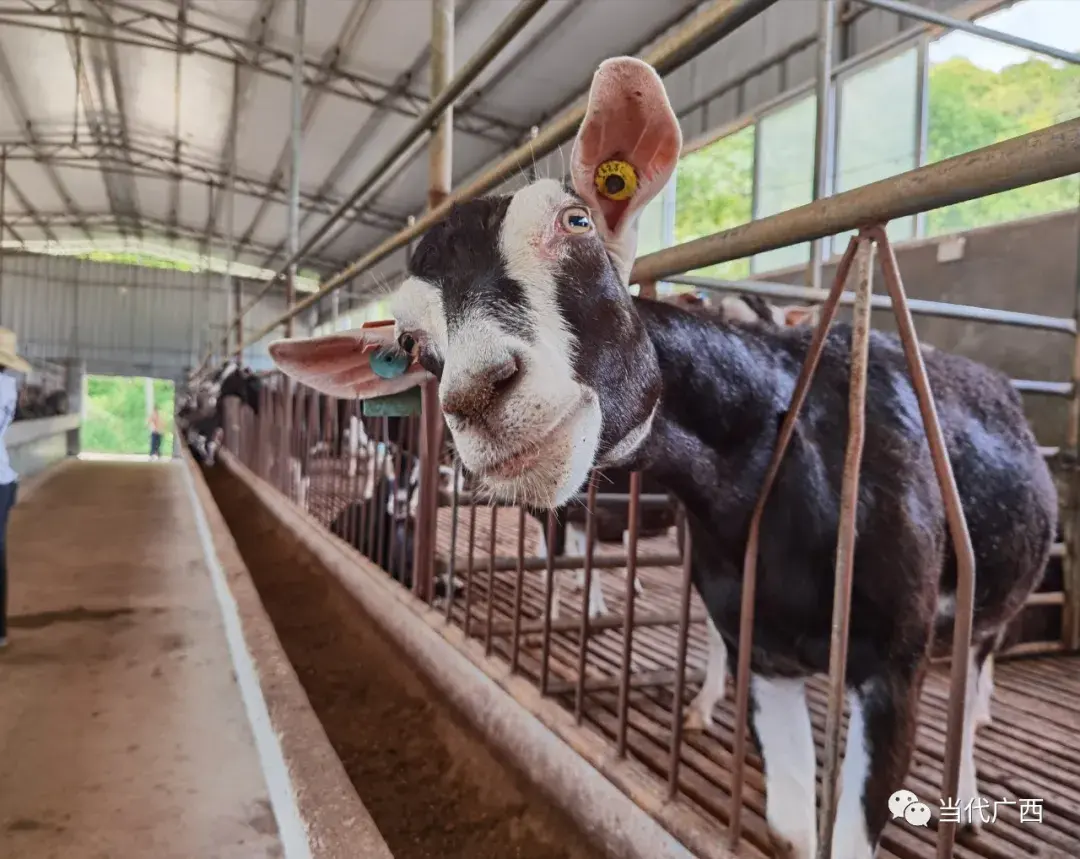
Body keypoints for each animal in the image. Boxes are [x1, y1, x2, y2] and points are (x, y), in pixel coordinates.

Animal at [267, 55, 1054, 859]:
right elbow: (791, 825)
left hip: (989, 598)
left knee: (973, 672)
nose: (481, 394)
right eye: (411, 343)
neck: (773, 458)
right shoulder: (761, 647)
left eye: (577, 221)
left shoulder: (890, 667)